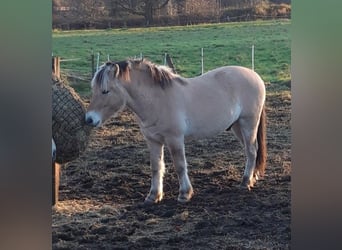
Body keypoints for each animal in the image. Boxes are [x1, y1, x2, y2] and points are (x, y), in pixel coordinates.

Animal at [85, 59, 268, 204]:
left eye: (105, 91)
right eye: (93, 90)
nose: (89, 119)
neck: (157, 100)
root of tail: (255, 76)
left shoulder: (175, 140)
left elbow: (180, 166)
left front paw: (184, 194)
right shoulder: (153, 141)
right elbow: (156, 167)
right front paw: (153, 196)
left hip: (248, 123)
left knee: (252, 151)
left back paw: (245, 182)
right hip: (237, 126)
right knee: (251, 151)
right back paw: (252, 178)